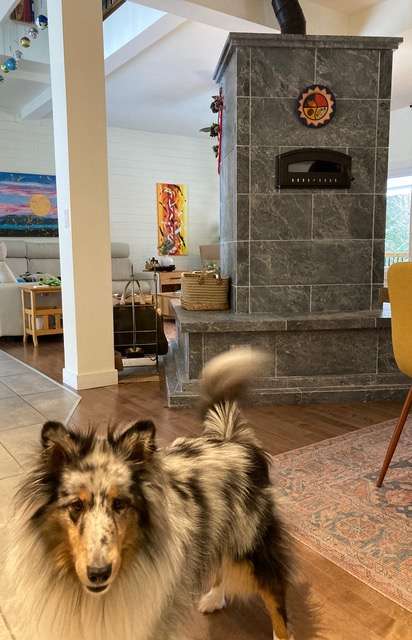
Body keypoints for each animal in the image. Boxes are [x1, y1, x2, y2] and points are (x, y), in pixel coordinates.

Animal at [8, 348, 294, 640]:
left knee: (275, 595)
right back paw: (213, 598)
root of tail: (234, 441)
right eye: (76, 505)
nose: (99, 574)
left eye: (120, 504)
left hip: (252, 544)